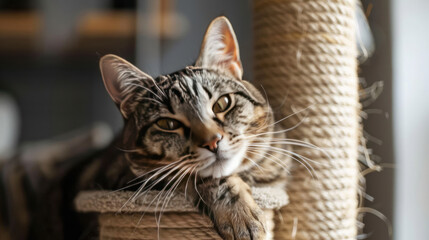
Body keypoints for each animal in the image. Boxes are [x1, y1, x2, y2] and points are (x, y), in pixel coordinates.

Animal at [0, 15, 290, 239]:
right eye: (168, 123)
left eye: (222, 104)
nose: (212, 141)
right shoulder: (124, 181)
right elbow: (203, 176)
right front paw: (240, 214)